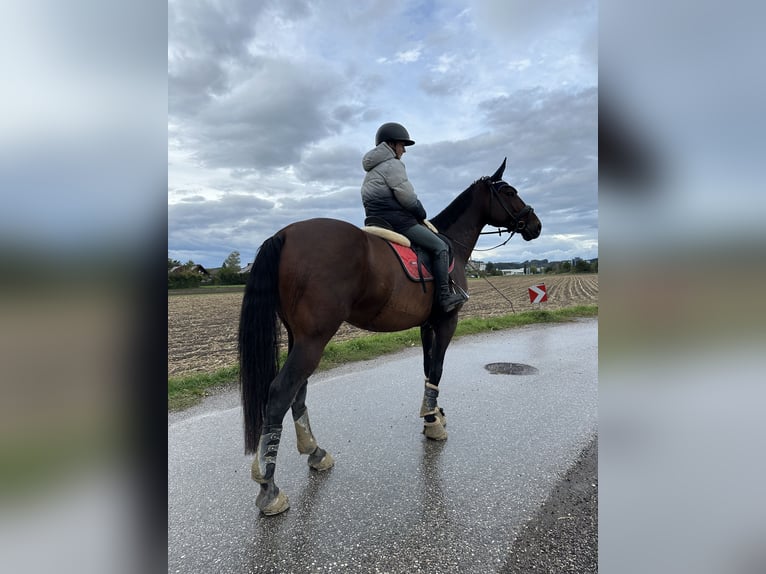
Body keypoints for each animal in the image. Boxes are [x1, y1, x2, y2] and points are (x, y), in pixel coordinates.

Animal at [237, 159, 544, 516]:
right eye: (508, 191)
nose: (536, 224)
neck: (449, 243)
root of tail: (284, 234)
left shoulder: (426, 326)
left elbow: (427, 370)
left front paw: (431, 415)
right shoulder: (446, 322)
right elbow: (437, 369)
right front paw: (434, 424)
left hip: (299, 338)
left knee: (297, 393)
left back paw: (315, 452)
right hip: (313, 339)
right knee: (279, 393)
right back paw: (269, 488)